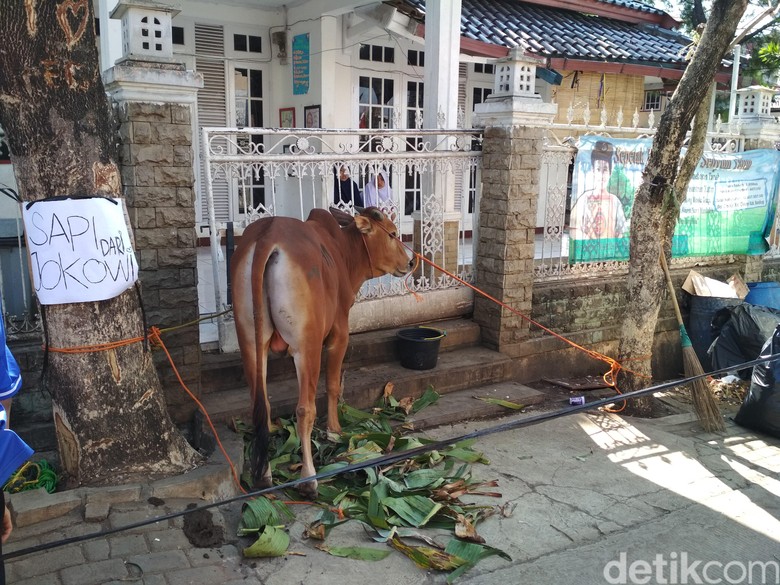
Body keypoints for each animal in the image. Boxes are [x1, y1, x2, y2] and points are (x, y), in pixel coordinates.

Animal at [232, 208, 414, 496]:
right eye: (393, 233)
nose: (411, 262)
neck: (342, 250)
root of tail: (267, 235)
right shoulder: (339, 335)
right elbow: (333, 385)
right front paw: (334, 430)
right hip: (307, 346)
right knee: (304, 410)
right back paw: (309, 479)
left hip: (250, 343)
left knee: (261, 407)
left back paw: (264, 476)